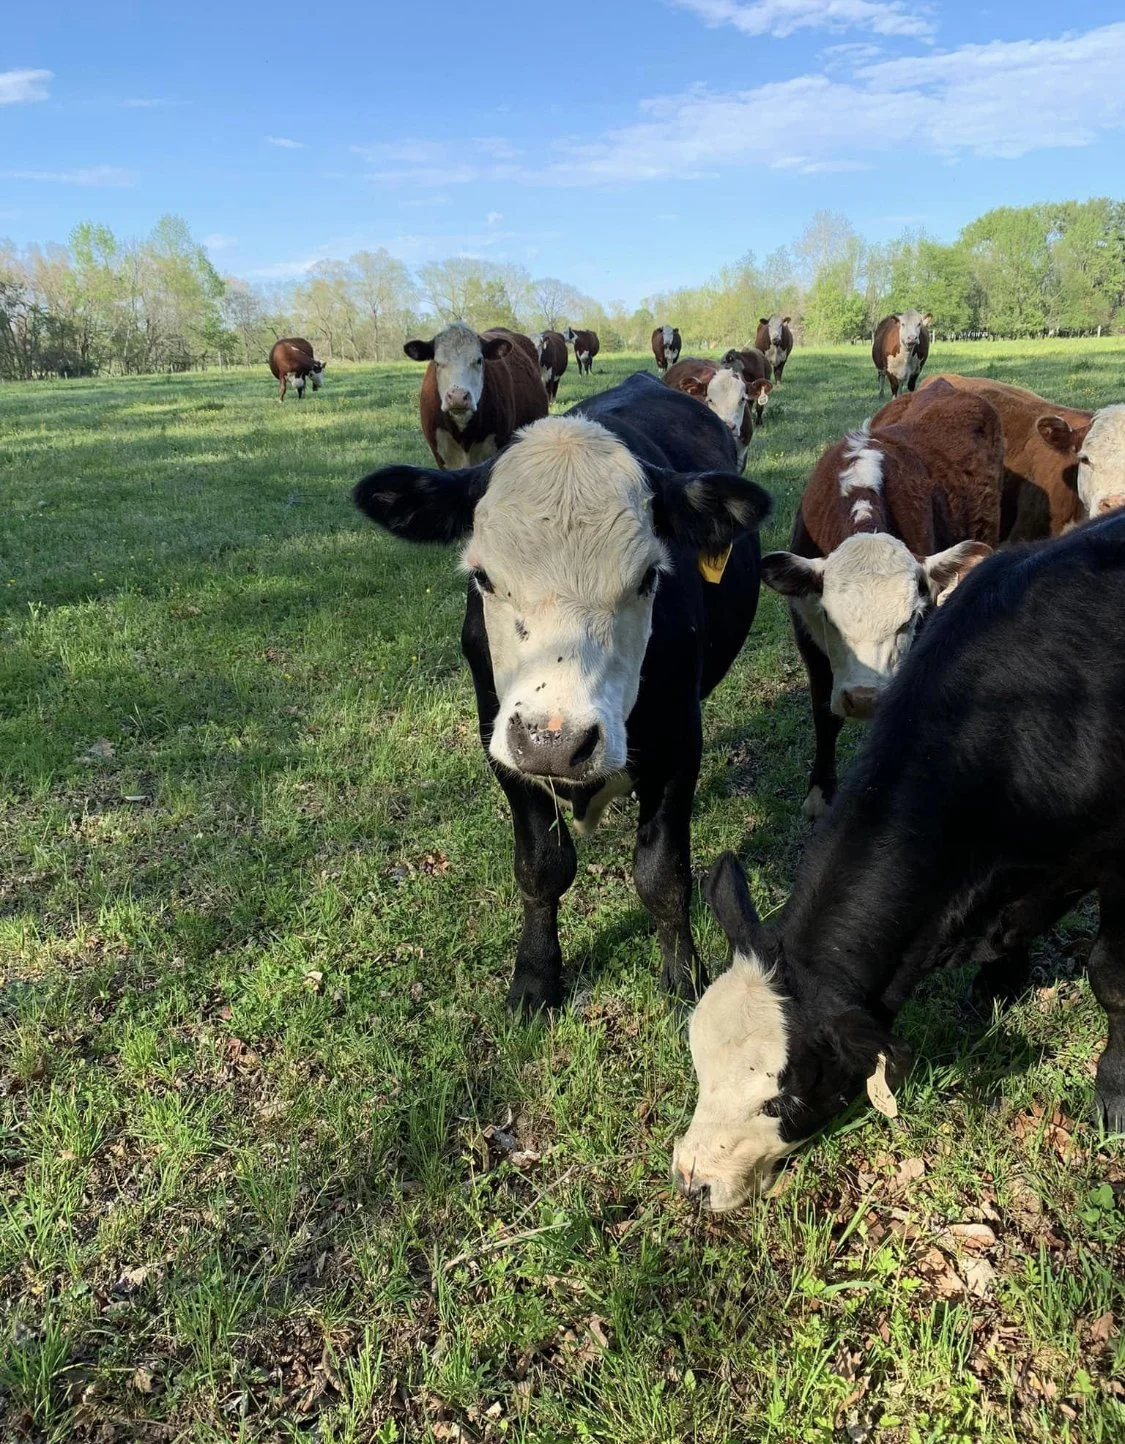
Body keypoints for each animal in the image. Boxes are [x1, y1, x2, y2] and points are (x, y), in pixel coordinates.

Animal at [353, 372, 772, 1013]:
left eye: (649, 577)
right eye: (482, 576)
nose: (556, 741)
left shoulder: (679, 742)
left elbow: (662, 875)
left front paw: (683, 978)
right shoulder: (503, 739)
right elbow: (542, 868)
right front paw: (534, 979)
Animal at [673, 511, 1125, 1211]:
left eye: (780, 1100)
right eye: (698, 1067)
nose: (691, 1180)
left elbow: (1110, 977)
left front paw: (1113, 1095)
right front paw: (1000, 983)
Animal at [760, 381, 1002, 818]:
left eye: (909, 620)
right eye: (830, 619)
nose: (864, 699)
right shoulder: (805, 630)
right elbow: (823, 712)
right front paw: (820, 792)